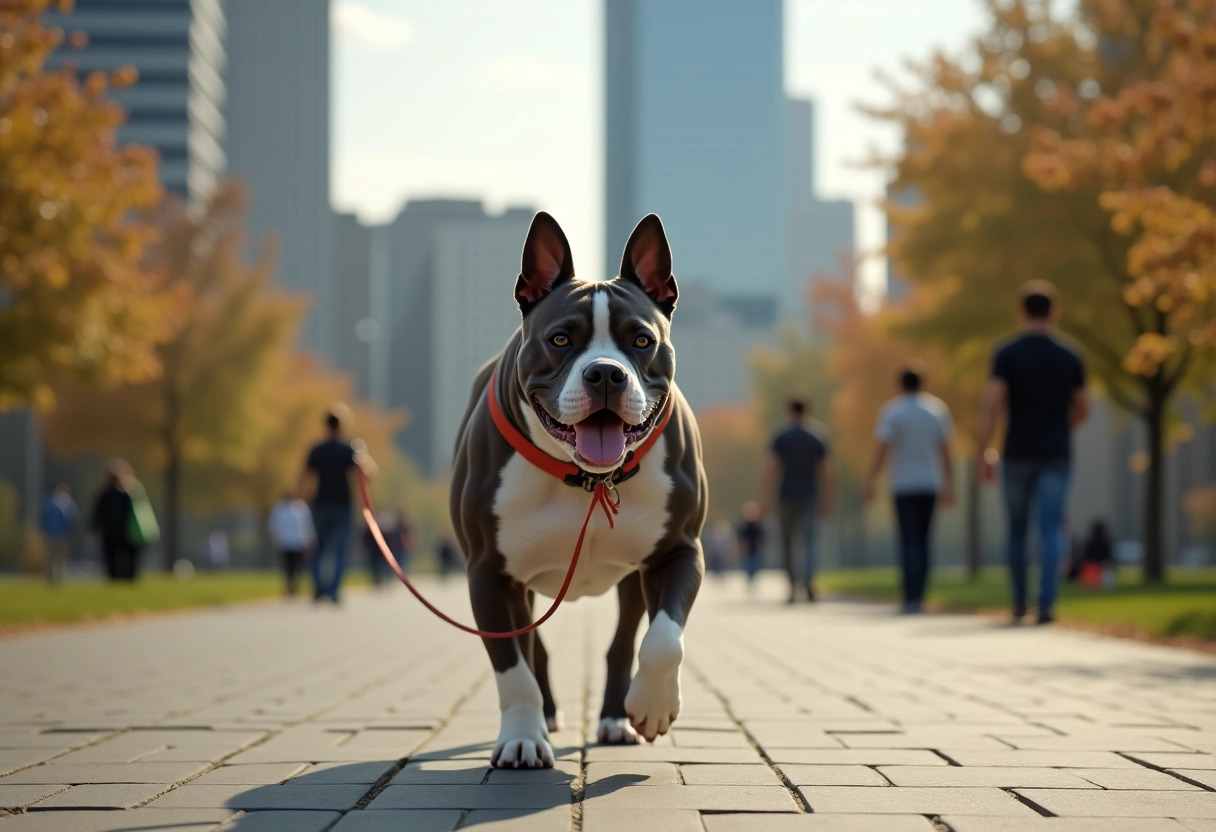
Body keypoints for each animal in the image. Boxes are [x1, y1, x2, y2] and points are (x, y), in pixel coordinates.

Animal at [452, 212, 710, 768]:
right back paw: (546, 719)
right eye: (560, 340)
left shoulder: (679, 551)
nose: (606, 373)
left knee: (623, 641)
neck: (588, 477)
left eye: (642, 341)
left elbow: (664, 640)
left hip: (633, 577)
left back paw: (616, 717)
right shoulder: (489, 573)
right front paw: (522, 736)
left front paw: (654, 706)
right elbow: (513, 668)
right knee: (535, 651)